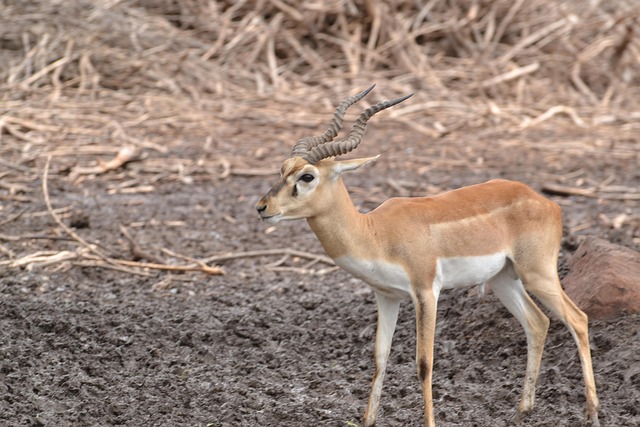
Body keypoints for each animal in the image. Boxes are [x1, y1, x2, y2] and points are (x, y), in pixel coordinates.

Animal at [255, 85, 600, 427]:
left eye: (307, 176)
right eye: (283, 168)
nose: (262, 207)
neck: (375, 232)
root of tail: (546, 202)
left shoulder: (426, 292)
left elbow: (424, 363)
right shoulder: (386, 296)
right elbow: (380, 358)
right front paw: (367, 420)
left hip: (538, 273)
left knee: (578, 319)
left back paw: (591, 413)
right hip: (504, 279)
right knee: (538, 323)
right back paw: (522, 410)